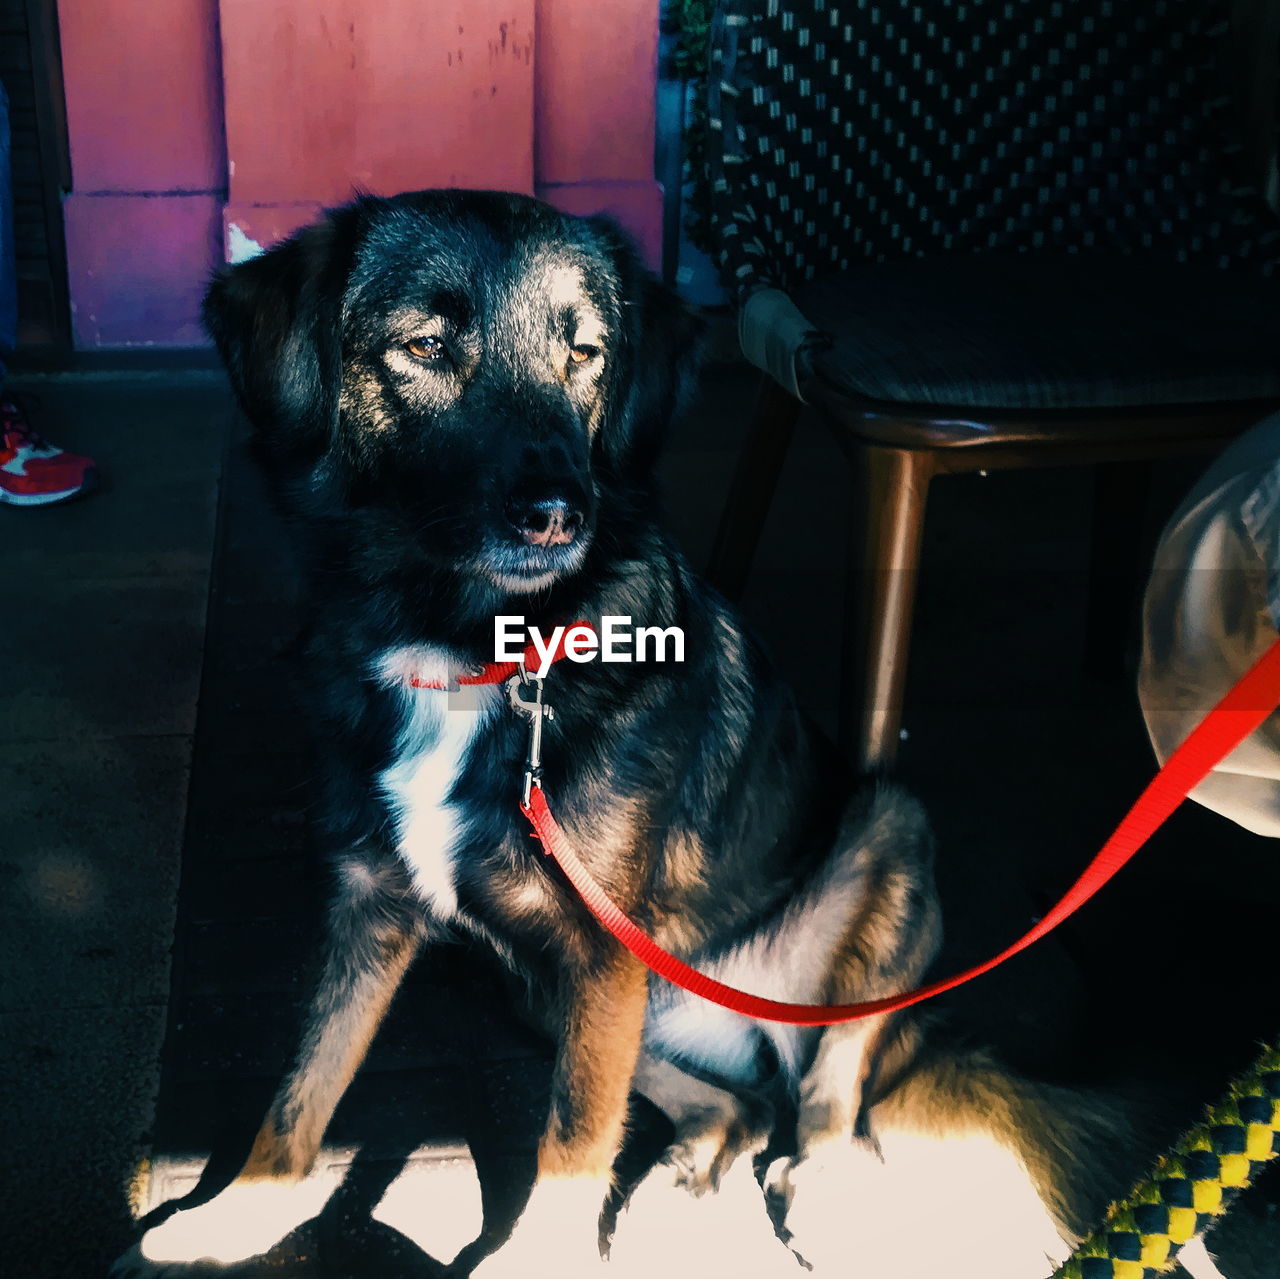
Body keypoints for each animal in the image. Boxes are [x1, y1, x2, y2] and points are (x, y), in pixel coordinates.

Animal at [117, 192, 1141, 1279]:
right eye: (424, 346)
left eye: (586, 352)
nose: (558, 513)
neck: (467, 646)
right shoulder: (376, 906)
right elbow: (303, 1085)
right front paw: (234, 1214)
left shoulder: (599, 947)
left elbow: (569, 1139)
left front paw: (532, 1259)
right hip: (549, 989)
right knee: (736, 1101)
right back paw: (691, 1164)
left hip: (881, 833)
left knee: (829, 1079)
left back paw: (809, 1174)